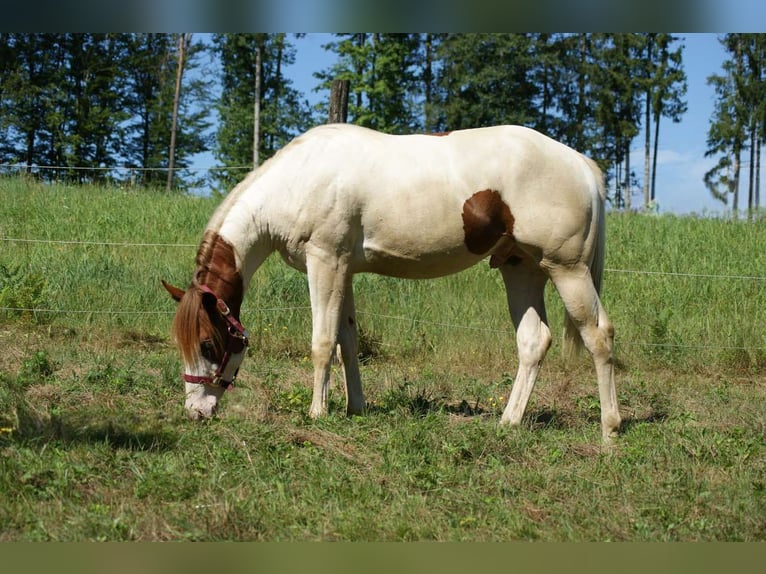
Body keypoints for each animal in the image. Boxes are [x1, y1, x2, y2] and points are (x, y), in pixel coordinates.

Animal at [164, 124, 624, 444]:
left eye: (208, 344)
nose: (195, 412)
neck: (299, 180)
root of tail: (581, 164)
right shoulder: (344, 271)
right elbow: (347, 342)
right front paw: (355, 407)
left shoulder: (325, 263)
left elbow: (322, 342)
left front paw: (317, 412)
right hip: (520, 268)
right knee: (533, 341)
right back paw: (507, 422)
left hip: (568, 269)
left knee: (599, 336)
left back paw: (610, 429)